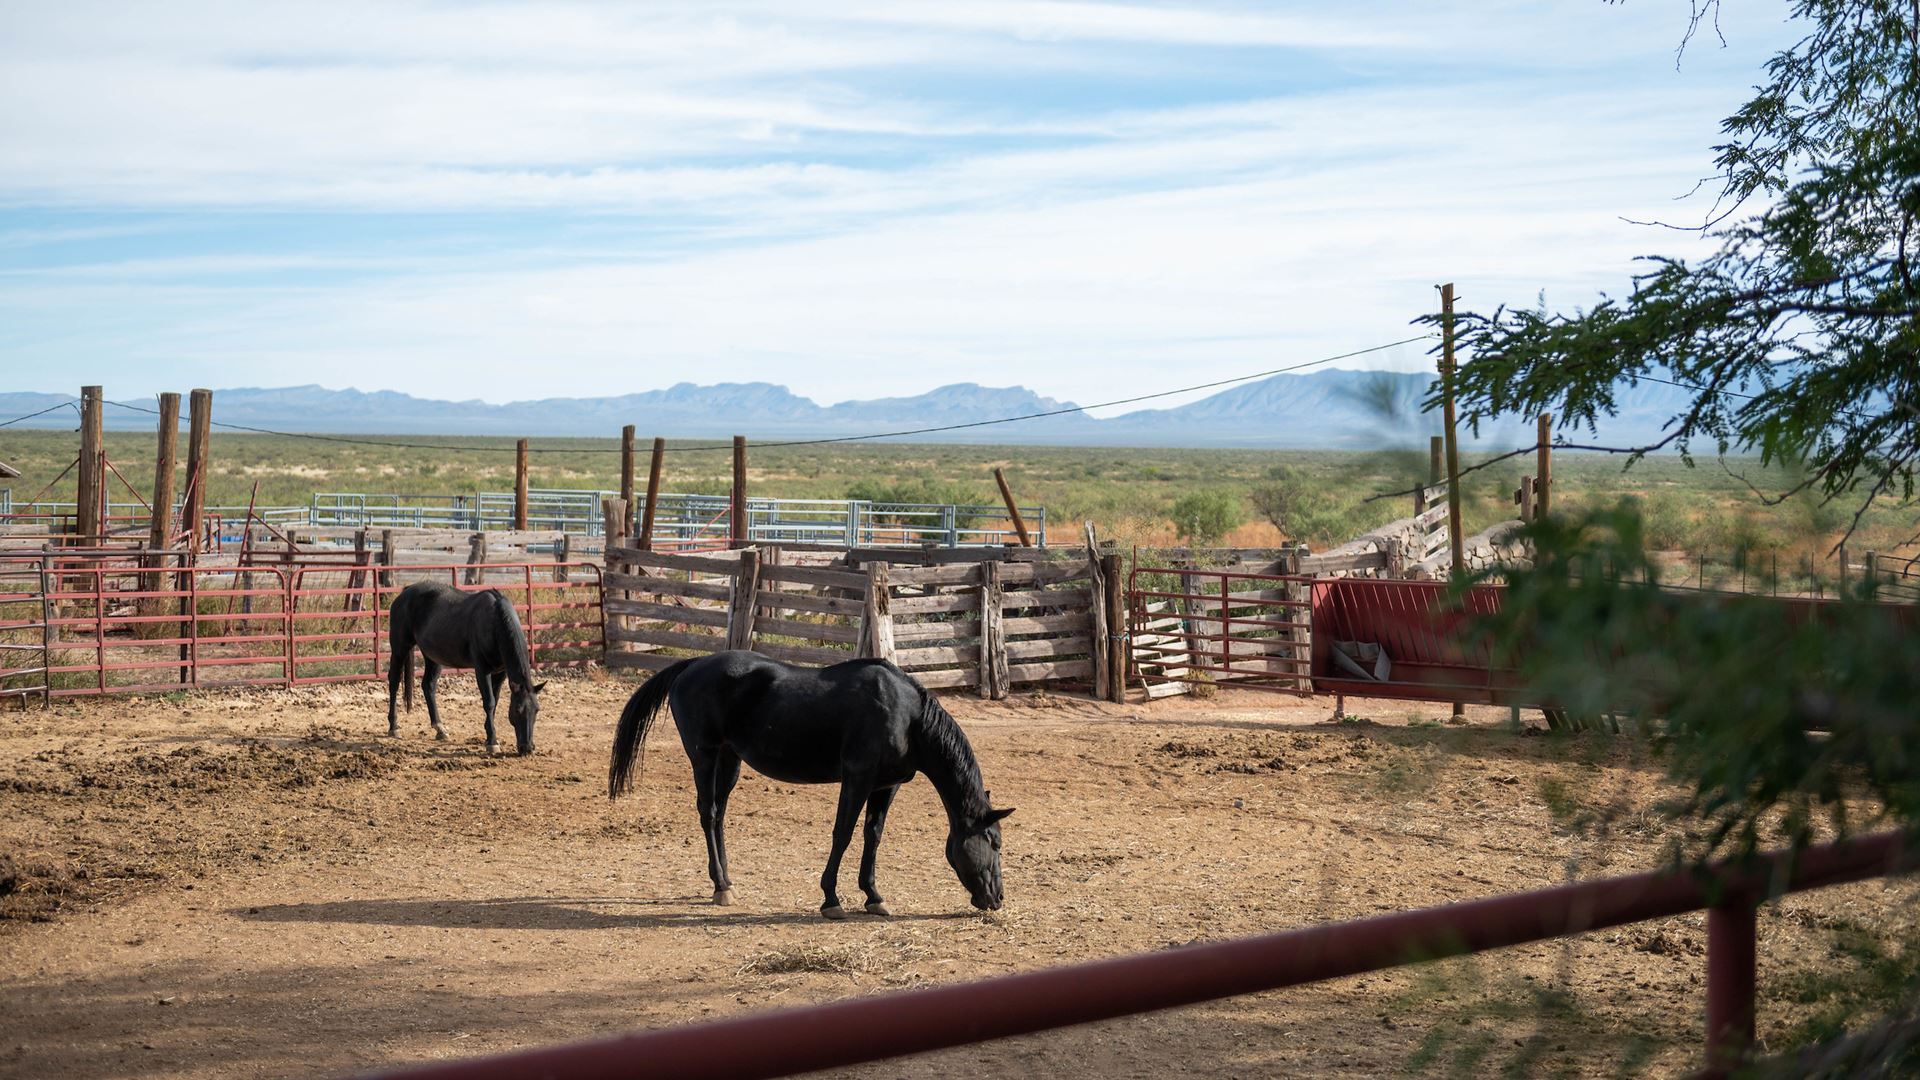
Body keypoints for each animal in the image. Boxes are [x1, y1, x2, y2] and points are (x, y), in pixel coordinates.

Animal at [610, 645, 1006, 914]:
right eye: (995, 842)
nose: (998, 899)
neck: (906, 715)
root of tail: (691, 665)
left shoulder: (886, 785)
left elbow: (873, 836)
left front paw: (873, 896)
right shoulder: (857, 777)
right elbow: (843, 834)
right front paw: (831, 898)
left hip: (729, 759)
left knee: (719, 814)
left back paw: (726, 882)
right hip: (704, 756)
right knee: (707, 813)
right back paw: (721, 886)